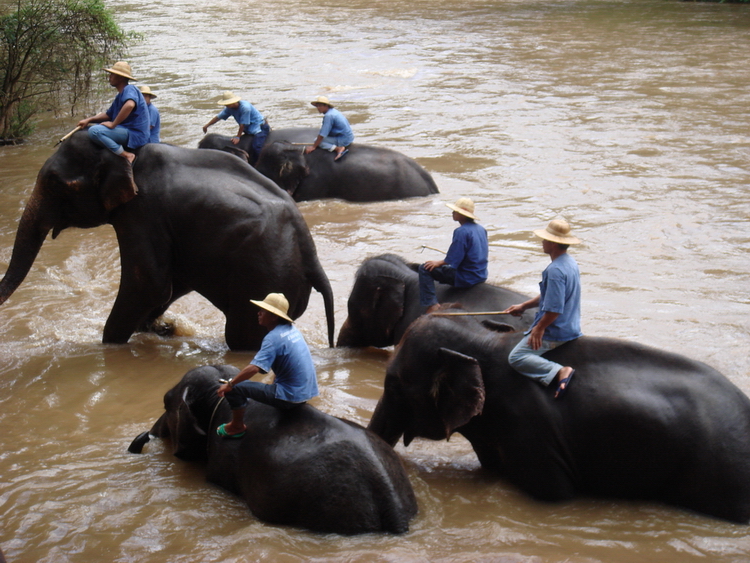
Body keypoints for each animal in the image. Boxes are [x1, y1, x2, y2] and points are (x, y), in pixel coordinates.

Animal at [0, 133, 334, 352]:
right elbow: (169, 286)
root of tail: (313, 258)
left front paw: (108, 346)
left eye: (55, 183)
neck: (126, 155)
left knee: (241, 336)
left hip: (264, 280)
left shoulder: (142, 213)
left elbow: (148, 285)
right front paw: (159, 330)